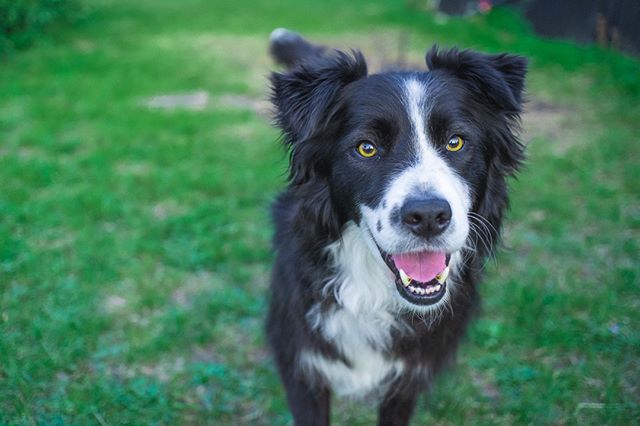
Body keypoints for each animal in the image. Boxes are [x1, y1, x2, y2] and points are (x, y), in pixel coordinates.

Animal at [264, 28, 524, 424]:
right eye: (366, 148)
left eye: (456, 142)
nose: (428, 216)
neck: (372, 293)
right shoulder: (302, 366)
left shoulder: (408, 377)